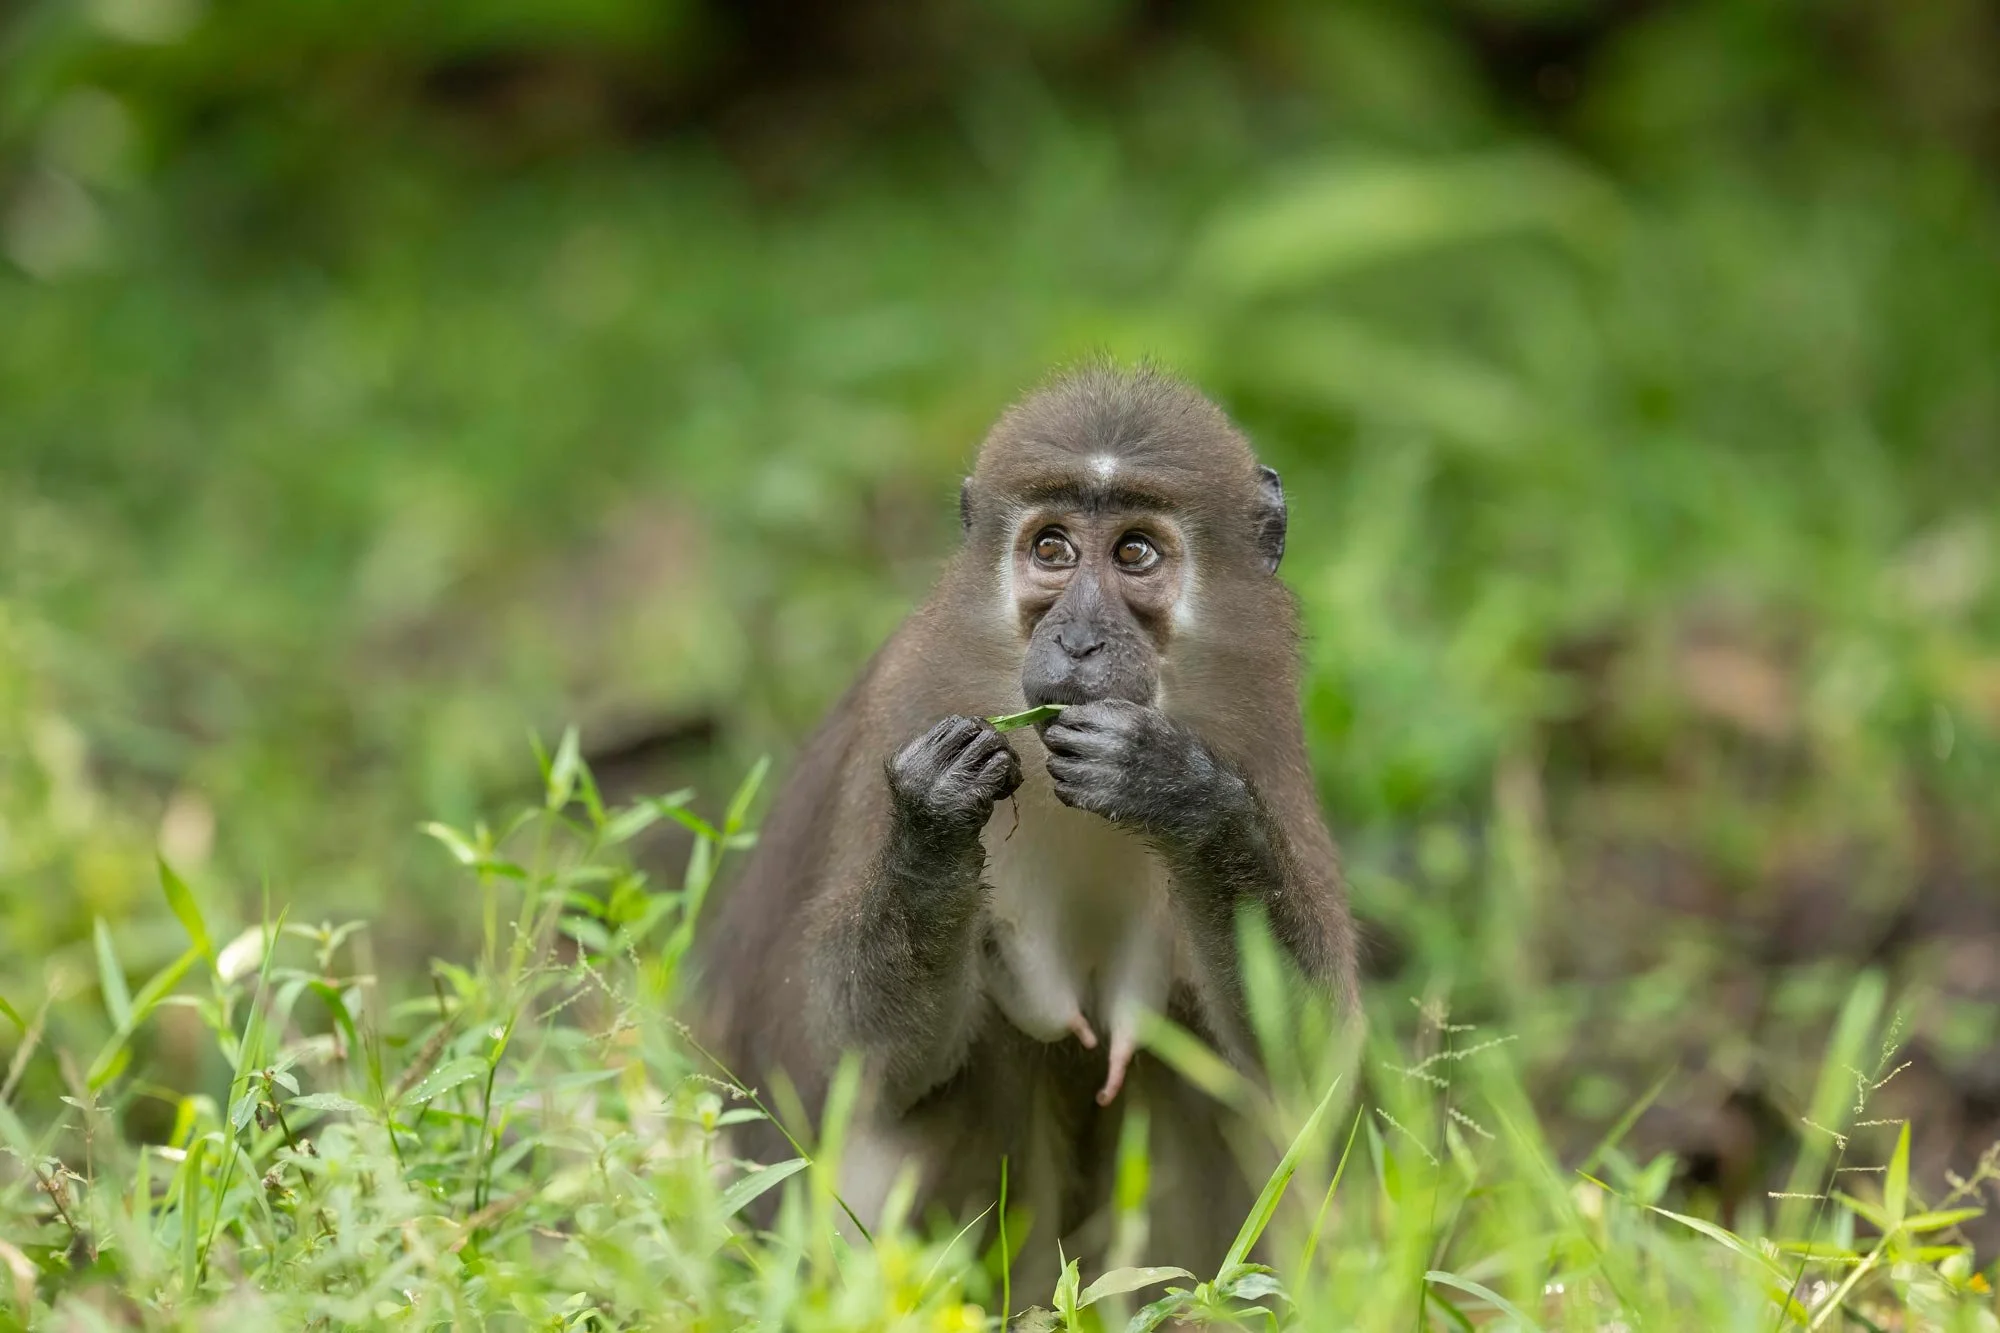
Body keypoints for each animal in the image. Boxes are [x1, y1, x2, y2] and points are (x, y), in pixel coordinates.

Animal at [699, 363, 1358, 1282]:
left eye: (1134, 552)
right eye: (1052, 549)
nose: (1077, 640)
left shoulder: (1258, 728)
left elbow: (1305, 1054)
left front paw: (1174, 788)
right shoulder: (912, 697)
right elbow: (860, 1056)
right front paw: (937, 811)